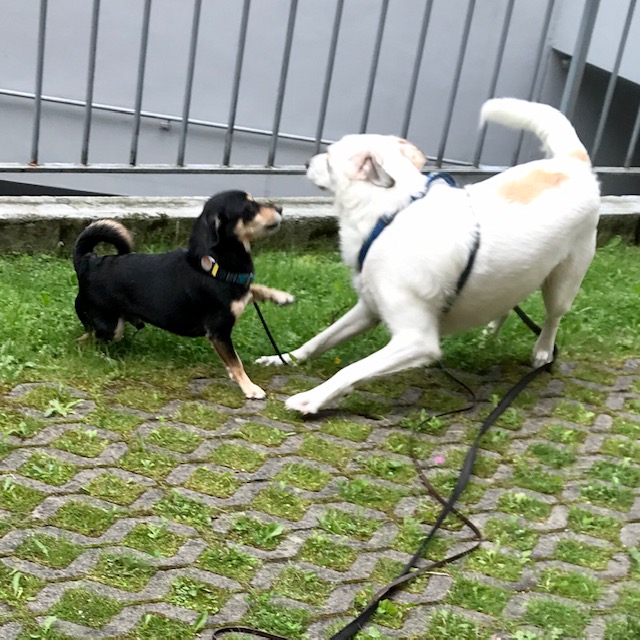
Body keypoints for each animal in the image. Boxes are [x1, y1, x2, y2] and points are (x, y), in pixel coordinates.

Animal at [74, 189, 294, 399]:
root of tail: (88, 263)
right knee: (91, 338)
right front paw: (250, 388)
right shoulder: (219, 332)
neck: (214, 265)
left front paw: (280, 296)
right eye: (250, 207)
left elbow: (253, 288)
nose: (281, 208)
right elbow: (236, 362)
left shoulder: (240, 289)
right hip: (111, 326)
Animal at [256, 98, 600, 414]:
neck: (390, 214)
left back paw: (542, 352)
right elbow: (320, 339)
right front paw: (282, 359)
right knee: (506, 303)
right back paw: (489, 334)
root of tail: (573, 162)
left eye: (328, 157)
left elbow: (350, 369)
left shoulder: (416, 340)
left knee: (553, 317)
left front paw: (311, 399)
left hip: (564, 281)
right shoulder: (369, 308)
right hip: (513, 275)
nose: (304, 162)